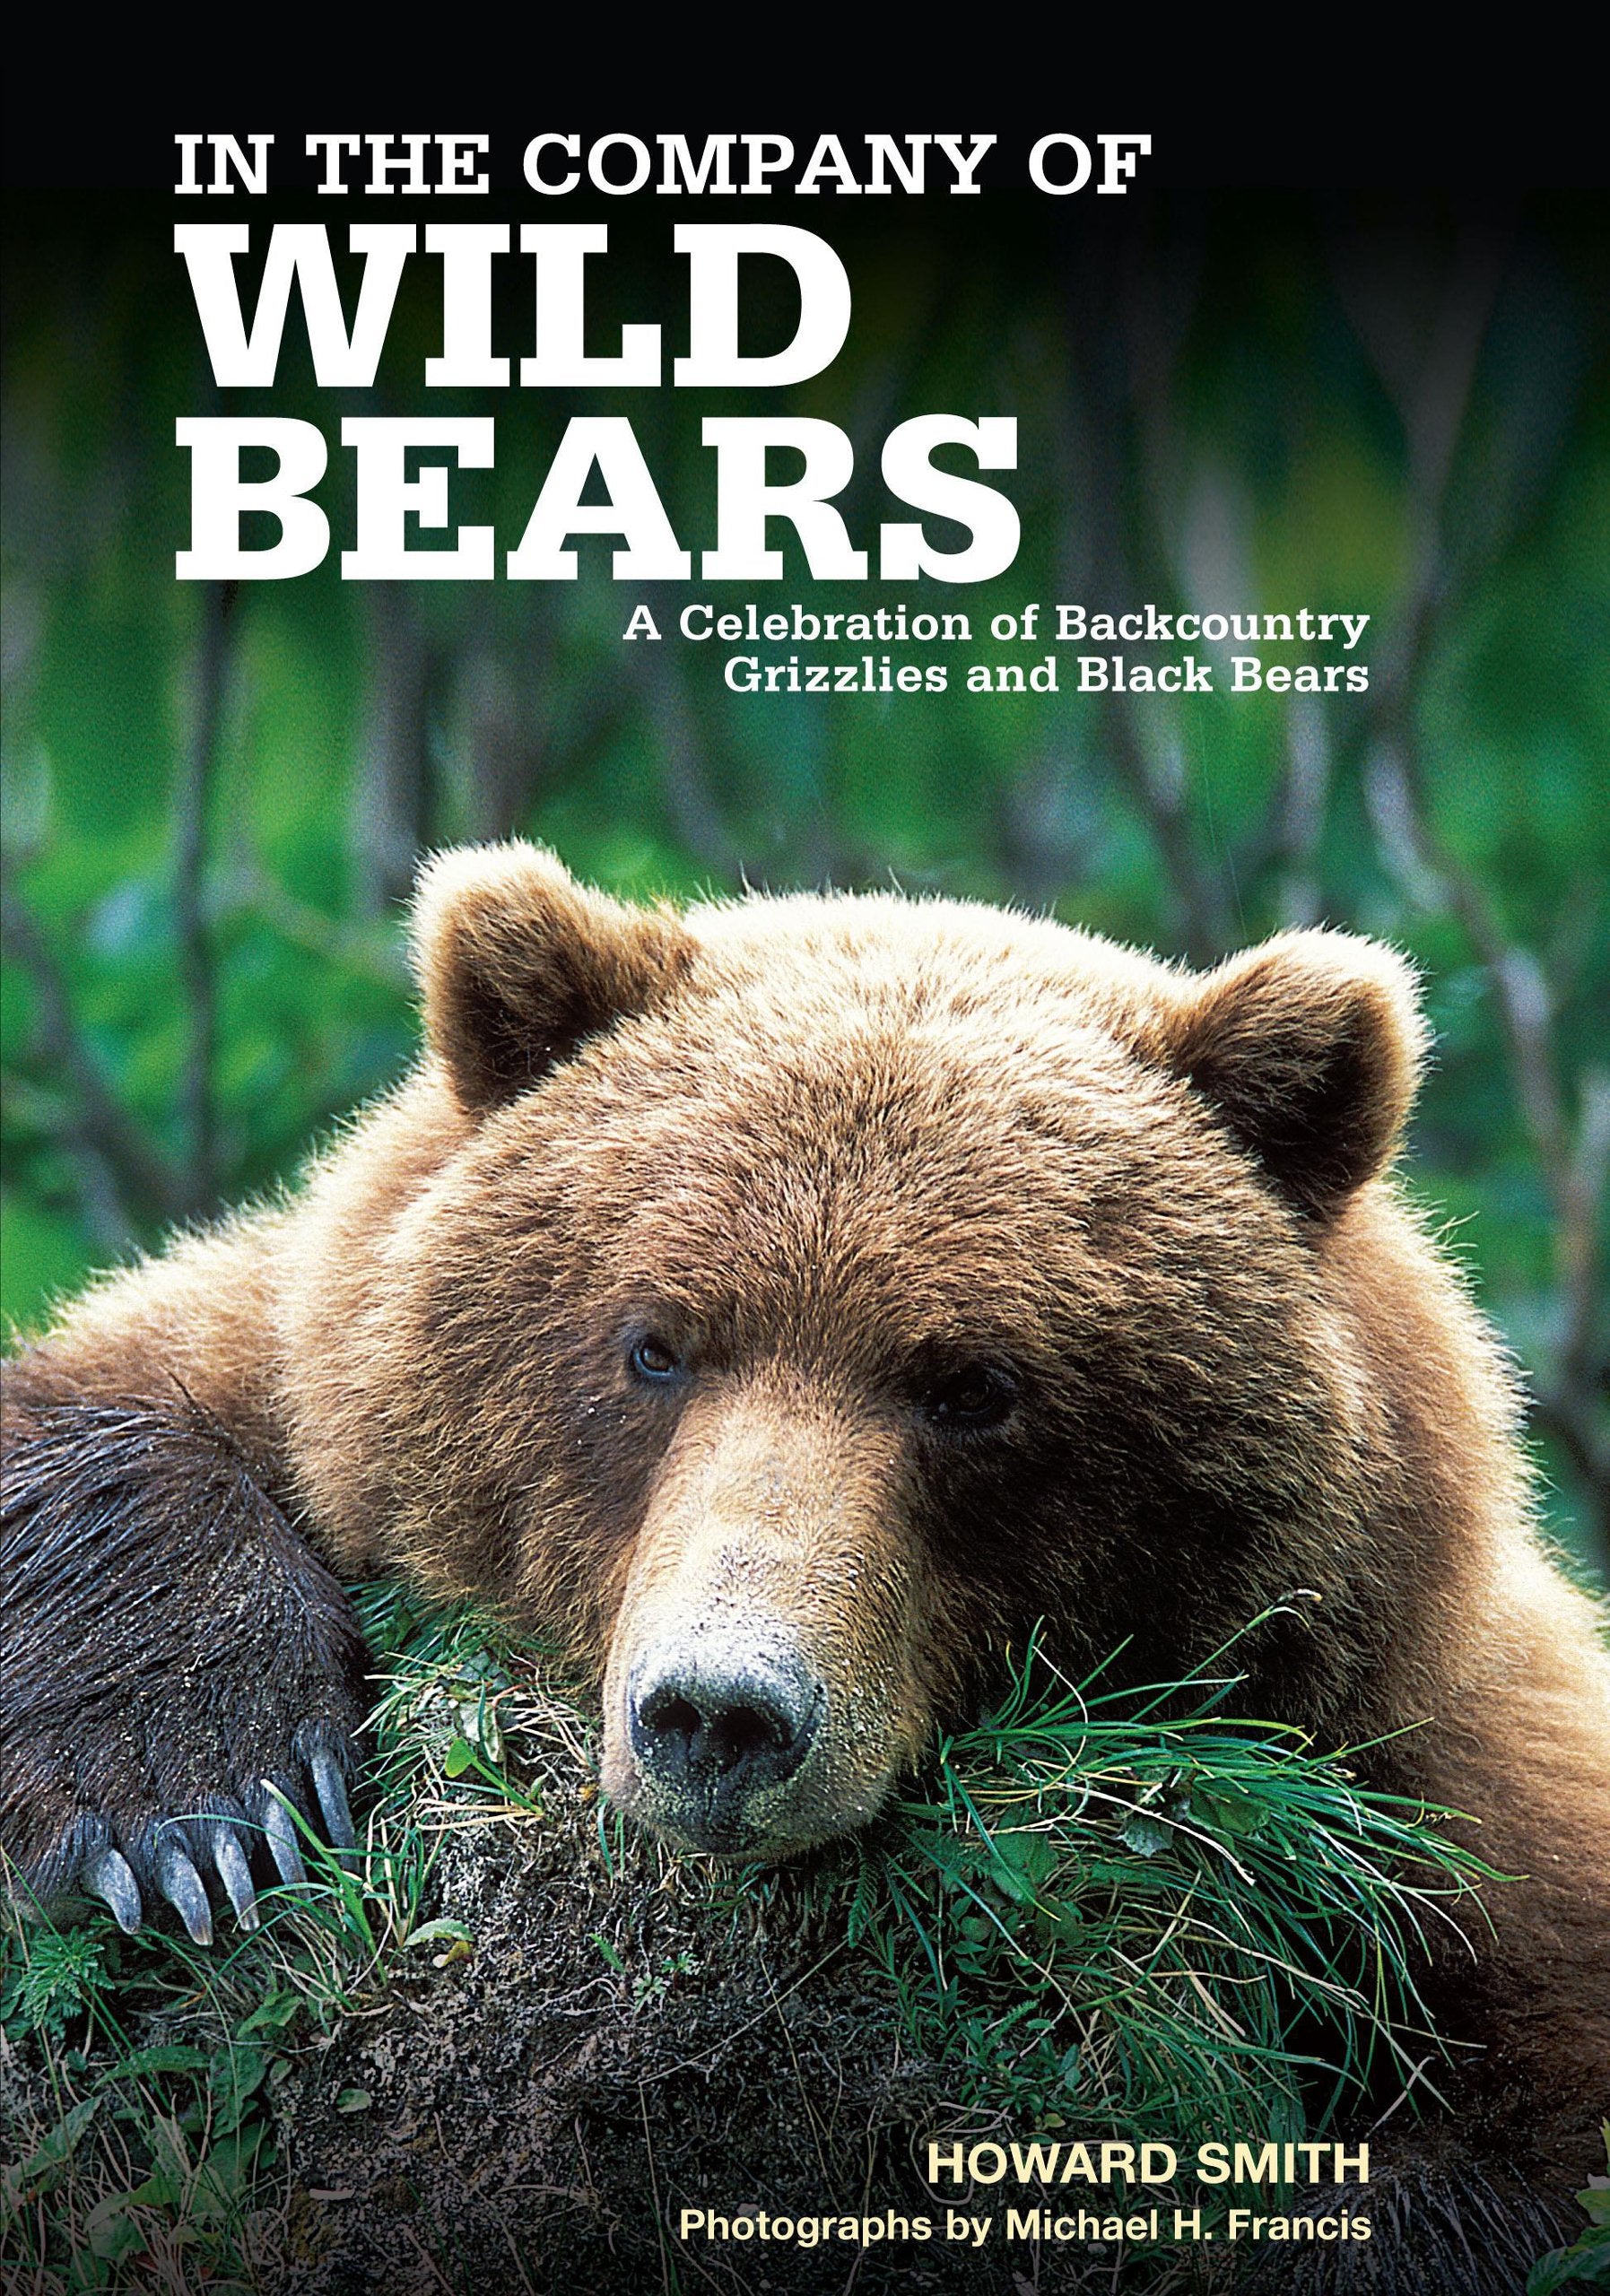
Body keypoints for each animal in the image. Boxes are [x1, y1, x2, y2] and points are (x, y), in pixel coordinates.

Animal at [3, 842, 1607, 2290]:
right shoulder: (296, 1343)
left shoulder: (1462, 1817)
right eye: (653, 1343)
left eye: (971, 1385)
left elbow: (1509, 2154)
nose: (716, 1717)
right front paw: (202, 1816)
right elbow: (110, 1408)